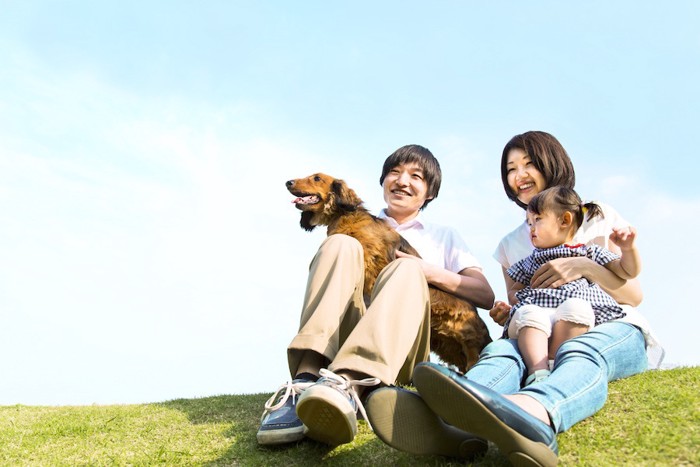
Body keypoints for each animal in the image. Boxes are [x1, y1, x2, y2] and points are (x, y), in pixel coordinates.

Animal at [286, 172, 492, 372]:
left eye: (317, 178)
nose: (288, 182)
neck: (345, 216)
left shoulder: (372, 263)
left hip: (469, 346)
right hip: (449, 348)